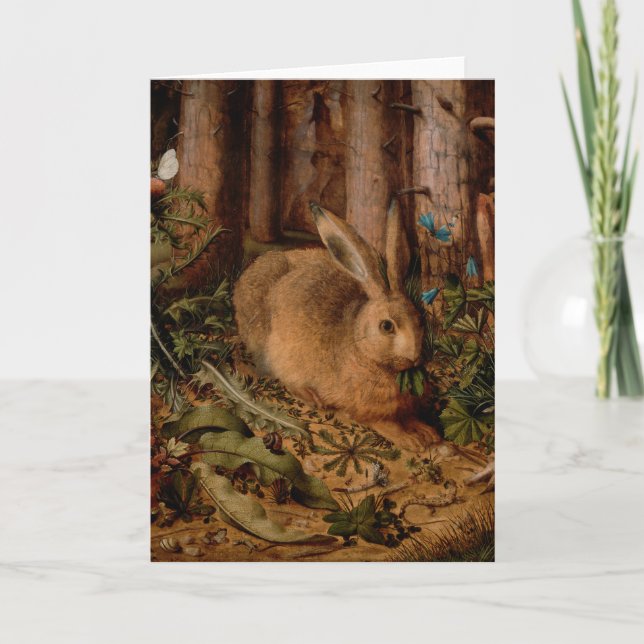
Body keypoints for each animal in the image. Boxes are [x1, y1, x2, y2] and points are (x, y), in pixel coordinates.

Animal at [233, 201, 441, 451]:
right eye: (387, 326)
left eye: (419, 319)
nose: (415, 357)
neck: (363, 349)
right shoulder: (366, 409)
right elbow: (386, 424)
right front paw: (411, 440)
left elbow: (410, 417)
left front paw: (428, 432)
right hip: (272, 346)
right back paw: (311, 396)